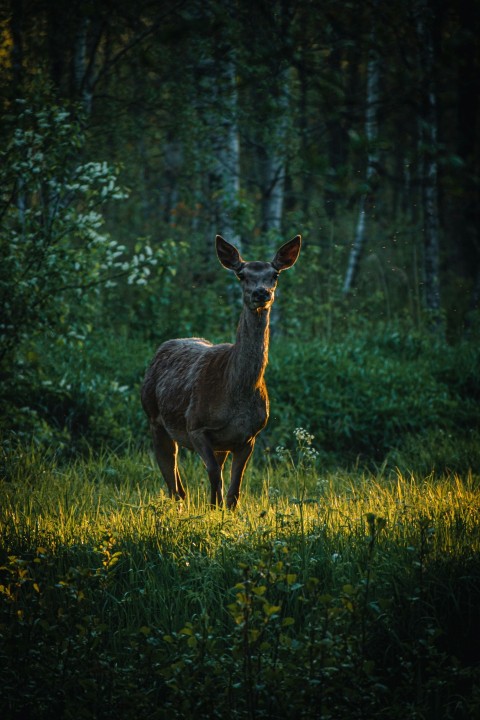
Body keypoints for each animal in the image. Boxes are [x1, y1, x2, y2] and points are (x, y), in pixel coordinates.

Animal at [141, 233, 302, 510]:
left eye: (275, 274)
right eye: (242, 274)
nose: (261, 293)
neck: (236, 393)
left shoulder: (248, 436)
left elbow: (234, 489)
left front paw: (224, 511)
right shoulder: (196, 426)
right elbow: (215, 476)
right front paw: (212, 511)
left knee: (180, 484)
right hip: (153, 417)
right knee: (174, 484)